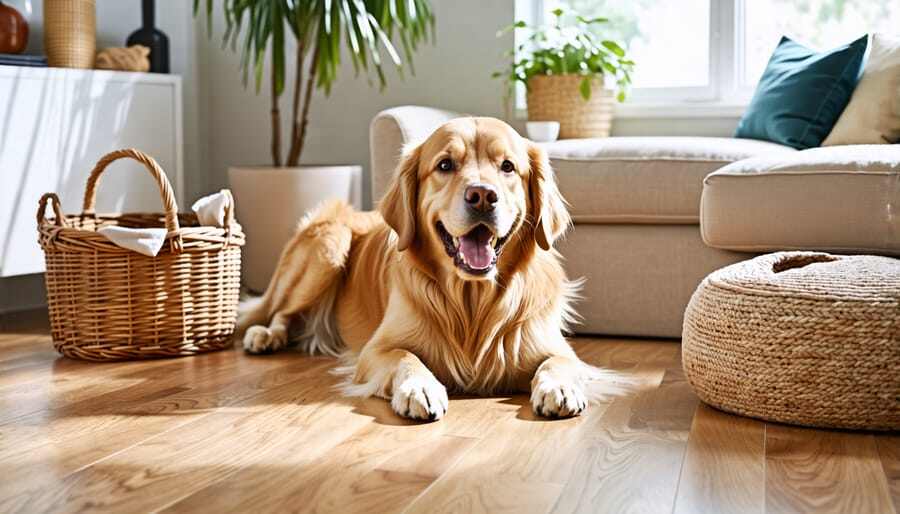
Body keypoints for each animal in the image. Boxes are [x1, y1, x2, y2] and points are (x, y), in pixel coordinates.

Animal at [236, 117, 624, 420]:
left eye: (508, 167)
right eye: (445, 165)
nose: (482, 196)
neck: (472, 301)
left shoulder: (555, 347)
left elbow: (559, 363)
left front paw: (559, 388)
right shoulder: (376, 350)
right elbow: (406, 357)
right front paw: (419, 389)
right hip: (329, 245)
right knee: (281, 311)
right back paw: (266, 336)